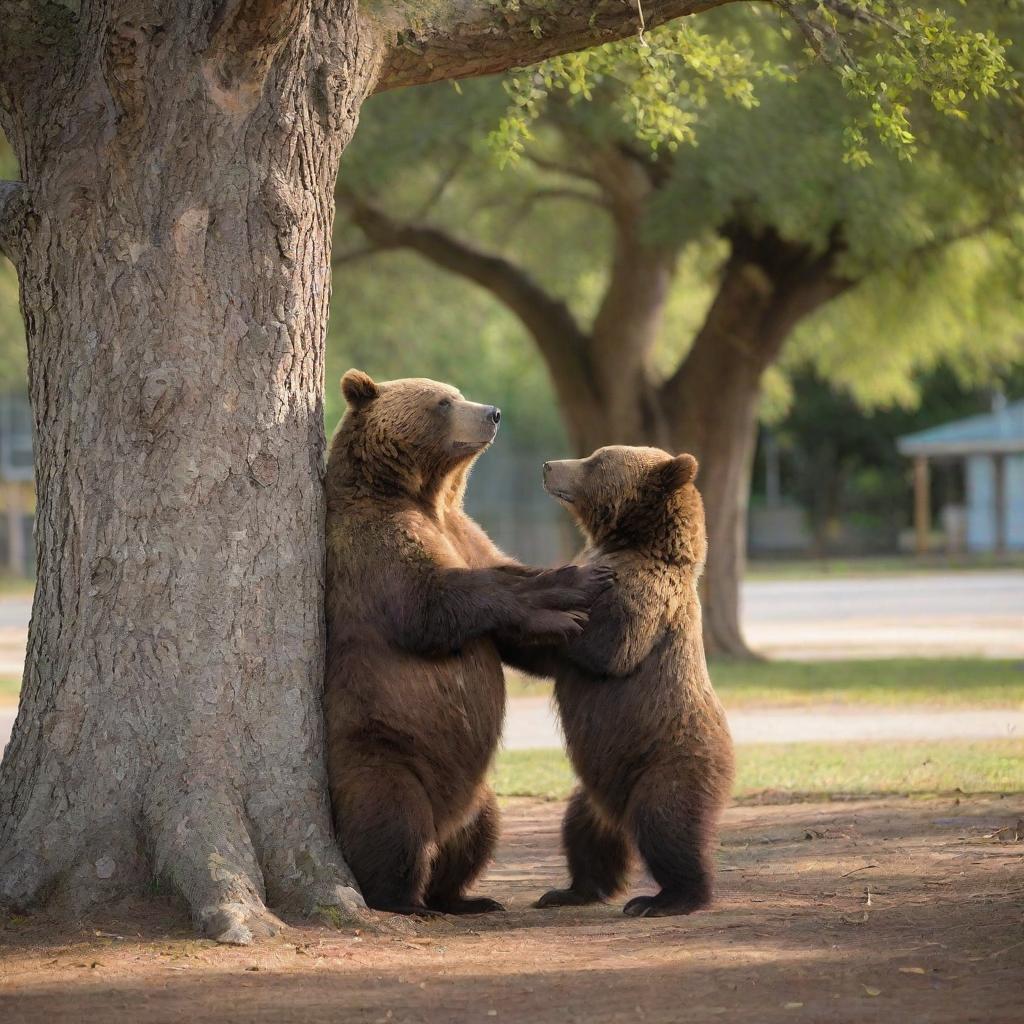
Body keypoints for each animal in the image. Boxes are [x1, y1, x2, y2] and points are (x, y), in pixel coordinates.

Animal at [323, 372, 606, 917]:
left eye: (457, 392)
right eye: (442, 401)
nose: (491, 412)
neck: (424, 496)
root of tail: (443, 820)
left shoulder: (466, 533)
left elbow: (500, 601)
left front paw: (572, 610)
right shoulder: (372, 548)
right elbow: (433, 605)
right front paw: (567, 588)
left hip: (476, 794)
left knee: (480, 833)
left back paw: (466, 897)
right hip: (381, 750)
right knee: (390, 821)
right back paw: (405, 900)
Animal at [512, 444, 737, 917]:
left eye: (596, 460)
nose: (548, 466)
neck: (630, 544)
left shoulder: (644, 594)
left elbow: (610, 647)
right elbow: (545, 660)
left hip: (668, 763)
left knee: (667, 826)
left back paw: (667, 898)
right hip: (596, 788)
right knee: (584, 833)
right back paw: (570, 890)